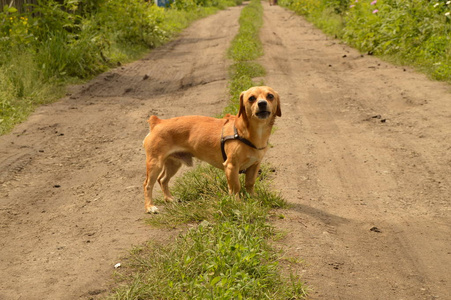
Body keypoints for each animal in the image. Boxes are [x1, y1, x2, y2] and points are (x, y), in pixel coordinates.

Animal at [143, 86, 280, 213]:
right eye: (251, 98)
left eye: (270, 96)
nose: (262, 103)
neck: (247, 132)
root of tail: (158, 122)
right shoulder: (231, 167)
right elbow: (235, 186)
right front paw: (237, 203)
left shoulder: (255, 165)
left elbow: (250, 184)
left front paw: (252, 198)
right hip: (155, 164)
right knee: (148, 184)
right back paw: (150, 207)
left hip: (173, 163)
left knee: (162, 180)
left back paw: (169, 198)